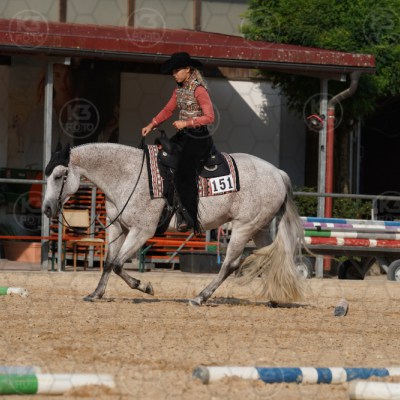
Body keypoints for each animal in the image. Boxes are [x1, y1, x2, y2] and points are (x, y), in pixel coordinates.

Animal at [42, 142, 305, 306]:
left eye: (59, 175)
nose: (46, 208)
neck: (127, 175)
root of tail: (277, 172)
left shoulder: (141, 231)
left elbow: (117, 264)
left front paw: (144, 286)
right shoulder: (119, 228)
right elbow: (108, 263)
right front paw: (96, 293)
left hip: (243, 227)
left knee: (229, 265)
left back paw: (200, 297)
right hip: (259, 228)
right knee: (270, 256)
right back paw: (275, 297)